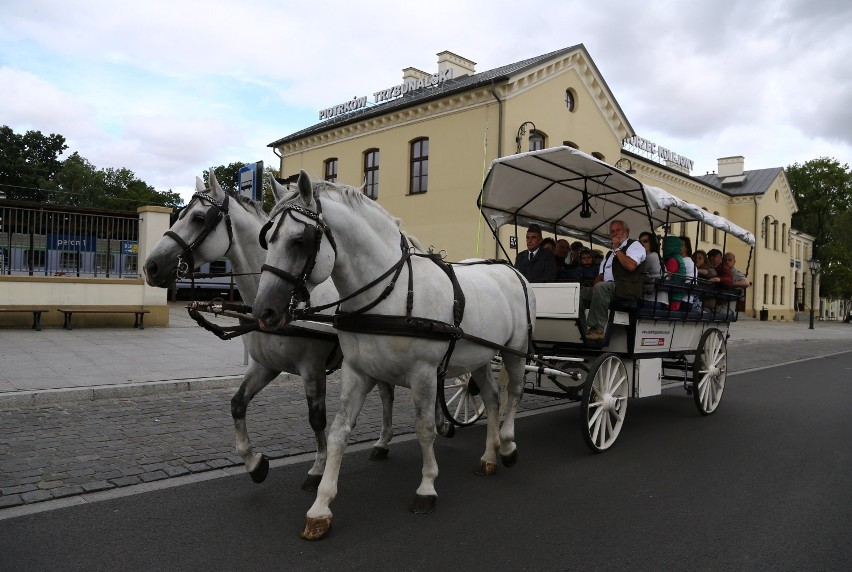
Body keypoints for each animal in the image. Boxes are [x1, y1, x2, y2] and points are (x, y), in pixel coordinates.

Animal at [142, 169, 402, 488]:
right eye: (179, 214)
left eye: (198, 218)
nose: (152, 266)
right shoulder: (265, 365)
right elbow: (237, 404)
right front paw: (254, 463)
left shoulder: (312, 368)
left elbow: (317, 419)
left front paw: (318, 467)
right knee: (387, 391)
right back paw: (383, 441)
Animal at [253, 172, 536, 540]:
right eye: (267, 238)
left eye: (299, 240)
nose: (264, 311)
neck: (390, 293)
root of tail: (511, 270)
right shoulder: (357, 372)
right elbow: (338, 432)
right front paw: (320, 507)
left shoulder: (424, 373)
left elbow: (425, 428)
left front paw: (427, 488)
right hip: (479, 358)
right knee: (491, 398)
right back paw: (488, 457)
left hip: (515, 351)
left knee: (513, 394)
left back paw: (508, 445)